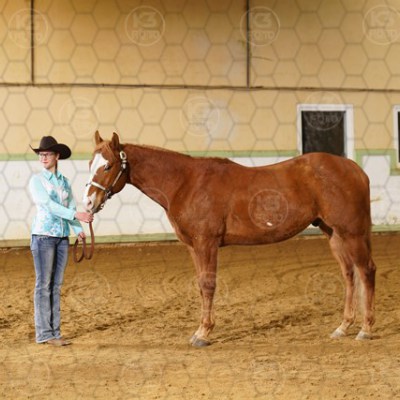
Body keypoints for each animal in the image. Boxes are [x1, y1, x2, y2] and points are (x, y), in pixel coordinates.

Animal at [83, 131, 376, 347]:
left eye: (108, 165)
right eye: (89, 164)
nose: (88, 203)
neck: (185, 182)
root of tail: (354, 169)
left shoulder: (207, 243)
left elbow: (208, 285)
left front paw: (203, 334)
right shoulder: (194, 247)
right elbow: (201, 285)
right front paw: (200, 330)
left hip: (351, 233)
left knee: (366, 271)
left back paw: (365, 329)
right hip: (334, 233)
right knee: (349, 274)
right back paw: (343, 327)